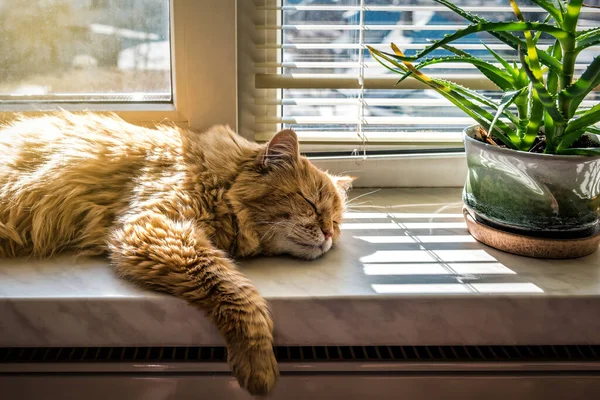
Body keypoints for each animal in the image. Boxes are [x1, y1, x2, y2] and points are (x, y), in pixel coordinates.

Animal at [0, 111, 352, 394]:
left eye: (336, 220)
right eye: (309, 203)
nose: (328, 234)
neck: (216, 177)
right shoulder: (153, 227)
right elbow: (234, 289)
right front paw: (257, 362)